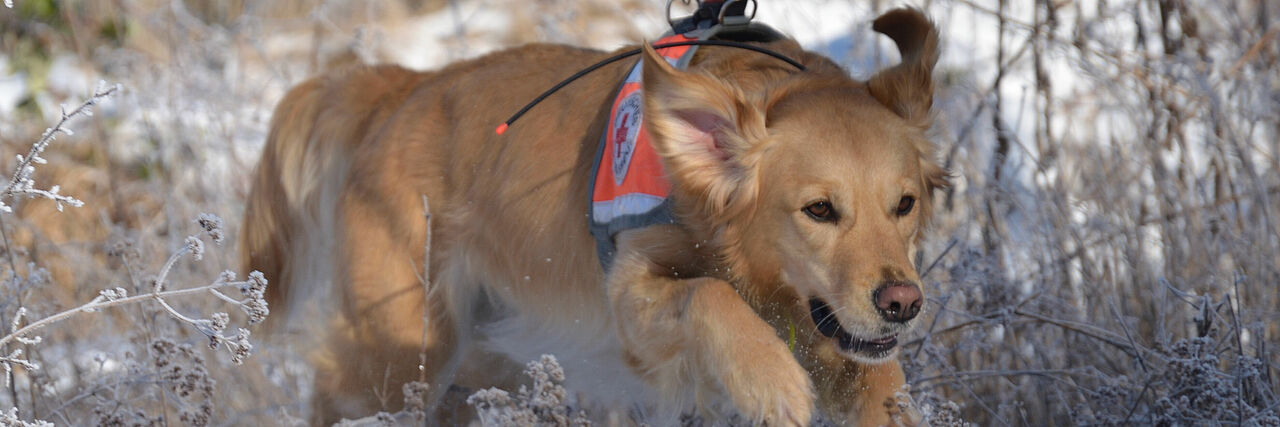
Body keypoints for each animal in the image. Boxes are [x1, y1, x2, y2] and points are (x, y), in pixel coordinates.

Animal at [244, 7, 952, 427]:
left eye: (905, 204)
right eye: (819, 210)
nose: (902, 303)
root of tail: (404, 86)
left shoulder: (845, 337)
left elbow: (882, 378)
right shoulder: (631, 301)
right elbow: (709, 295)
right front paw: (770, 378)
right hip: (399, 351)